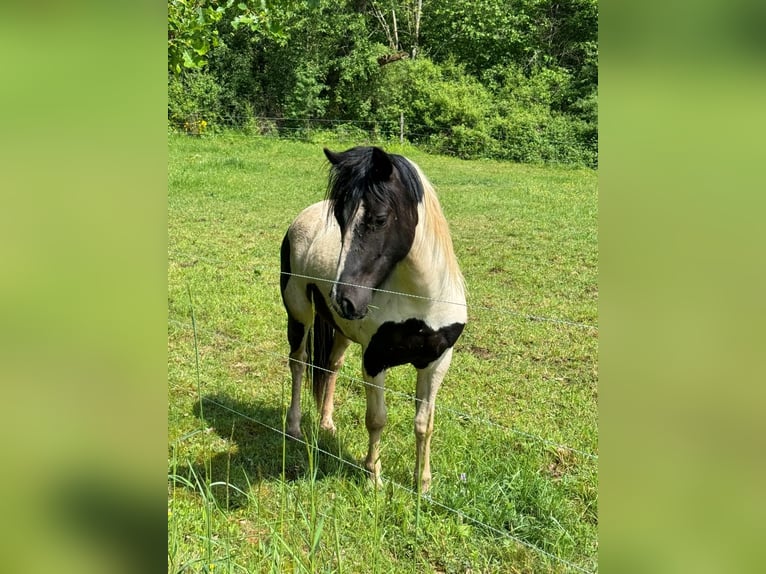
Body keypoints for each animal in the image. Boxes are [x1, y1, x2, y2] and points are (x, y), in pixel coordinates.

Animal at [280, 146, 464, 492]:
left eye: (379, 219)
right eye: (340, 219)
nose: (344, 299)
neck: (422, 303)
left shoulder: (437, 362)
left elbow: (425, 423)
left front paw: (423, 484)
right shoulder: (374, 360)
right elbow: (377, 419)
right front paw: (374, 478)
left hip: (340, 329)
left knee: (332, 367)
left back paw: (327, 423)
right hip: (299, 313)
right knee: (298, 362)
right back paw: (294, 427)